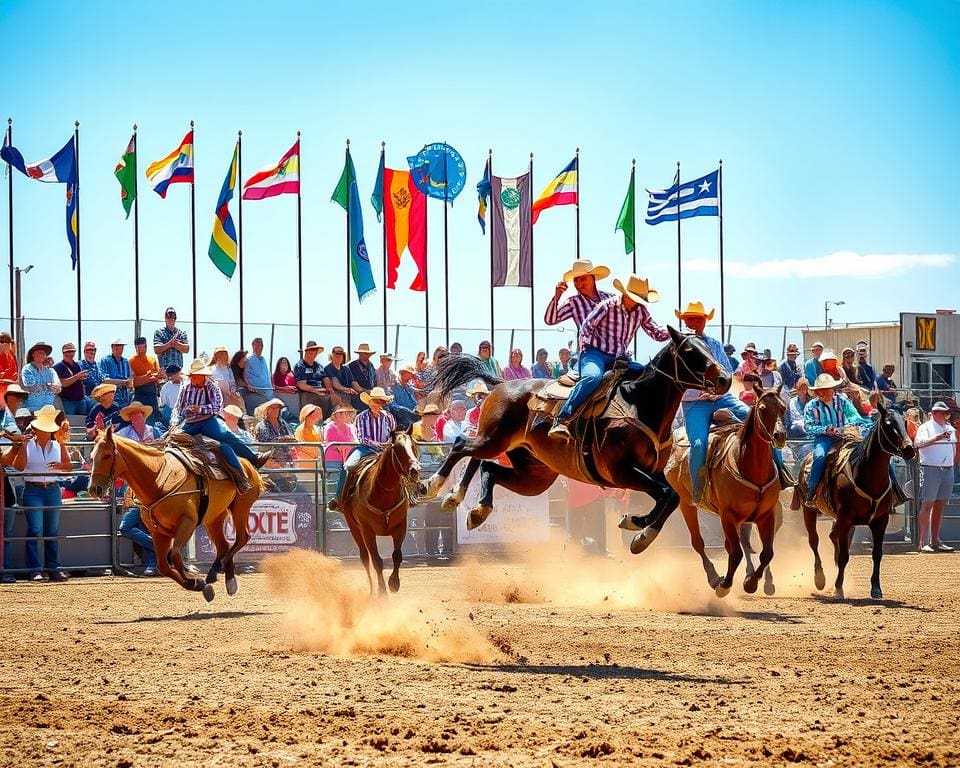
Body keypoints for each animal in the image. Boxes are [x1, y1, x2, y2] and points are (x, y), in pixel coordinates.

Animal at [88, 426, 262, 600]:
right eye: (91, 456)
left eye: (107, 455)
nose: (93, 489)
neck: (158, 480)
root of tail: (246, 464)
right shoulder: (158, 532)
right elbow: (163, 566)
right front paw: (196, 584)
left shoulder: (187, 522)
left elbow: (176, 556)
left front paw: (196, 582)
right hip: (214, 517)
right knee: (223, 545)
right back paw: (222, 577)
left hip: (241, 507)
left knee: (242, 537)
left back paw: (223, 570)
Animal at [342, 428, 424, 596]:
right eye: (398, 449)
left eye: (413, 446)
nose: (415, 470)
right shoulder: (367, 531)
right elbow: (377, 561)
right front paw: (382, 592)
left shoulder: (401, 526)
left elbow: (397, 556)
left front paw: (394, 583)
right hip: (354, 528)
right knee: (365, 558)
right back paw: (372, 589)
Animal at [420, 328, 728, 556]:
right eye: (690, 351)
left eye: (708, 346)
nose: (724, 379)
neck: (638, 402)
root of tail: (501, 384)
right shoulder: (622, 471)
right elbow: (666, 495)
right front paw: (640, 530)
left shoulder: (650, 473)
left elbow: (669, 497)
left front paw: (637, 528)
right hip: (494, 440)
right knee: (461, 445)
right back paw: (434, 485)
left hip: (532, 473)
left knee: (486, 466)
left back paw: (474, 507)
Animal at [668, 388, 788, 596]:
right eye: (762, 408)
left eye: (783, 407)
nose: (779, 435)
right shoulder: (728, 515)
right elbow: (736, 552)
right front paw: (724, 585)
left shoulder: (766, 515)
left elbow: (767, 552)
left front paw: (751, 582)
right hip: (686, 503)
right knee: (698, 542)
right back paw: (714, 578)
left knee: (742, 544)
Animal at [792, 400, 920, 604]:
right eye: (888, 423)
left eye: (905, 423)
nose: (909, 449)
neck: (866, 474)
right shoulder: (846, 519)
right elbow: (844, 555)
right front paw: (838, 589)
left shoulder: (880, 521)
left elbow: (877, 554)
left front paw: (876, 589)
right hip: (809, 511)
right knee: (814, 541)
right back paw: (820, 579)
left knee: (832, 537)